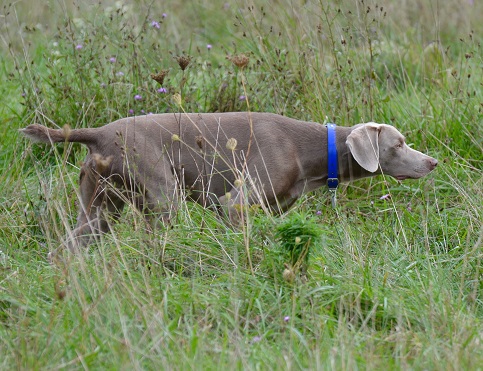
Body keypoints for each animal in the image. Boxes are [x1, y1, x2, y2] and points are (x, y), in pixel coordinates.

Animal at [21, 112, 438, 254]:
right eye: (399, 144)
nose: (433, 162)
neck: (312, 149)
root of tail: (99, 134)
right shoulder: (236, 203)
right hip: (162, 197)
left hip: (99, 207)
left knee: (69, 244)